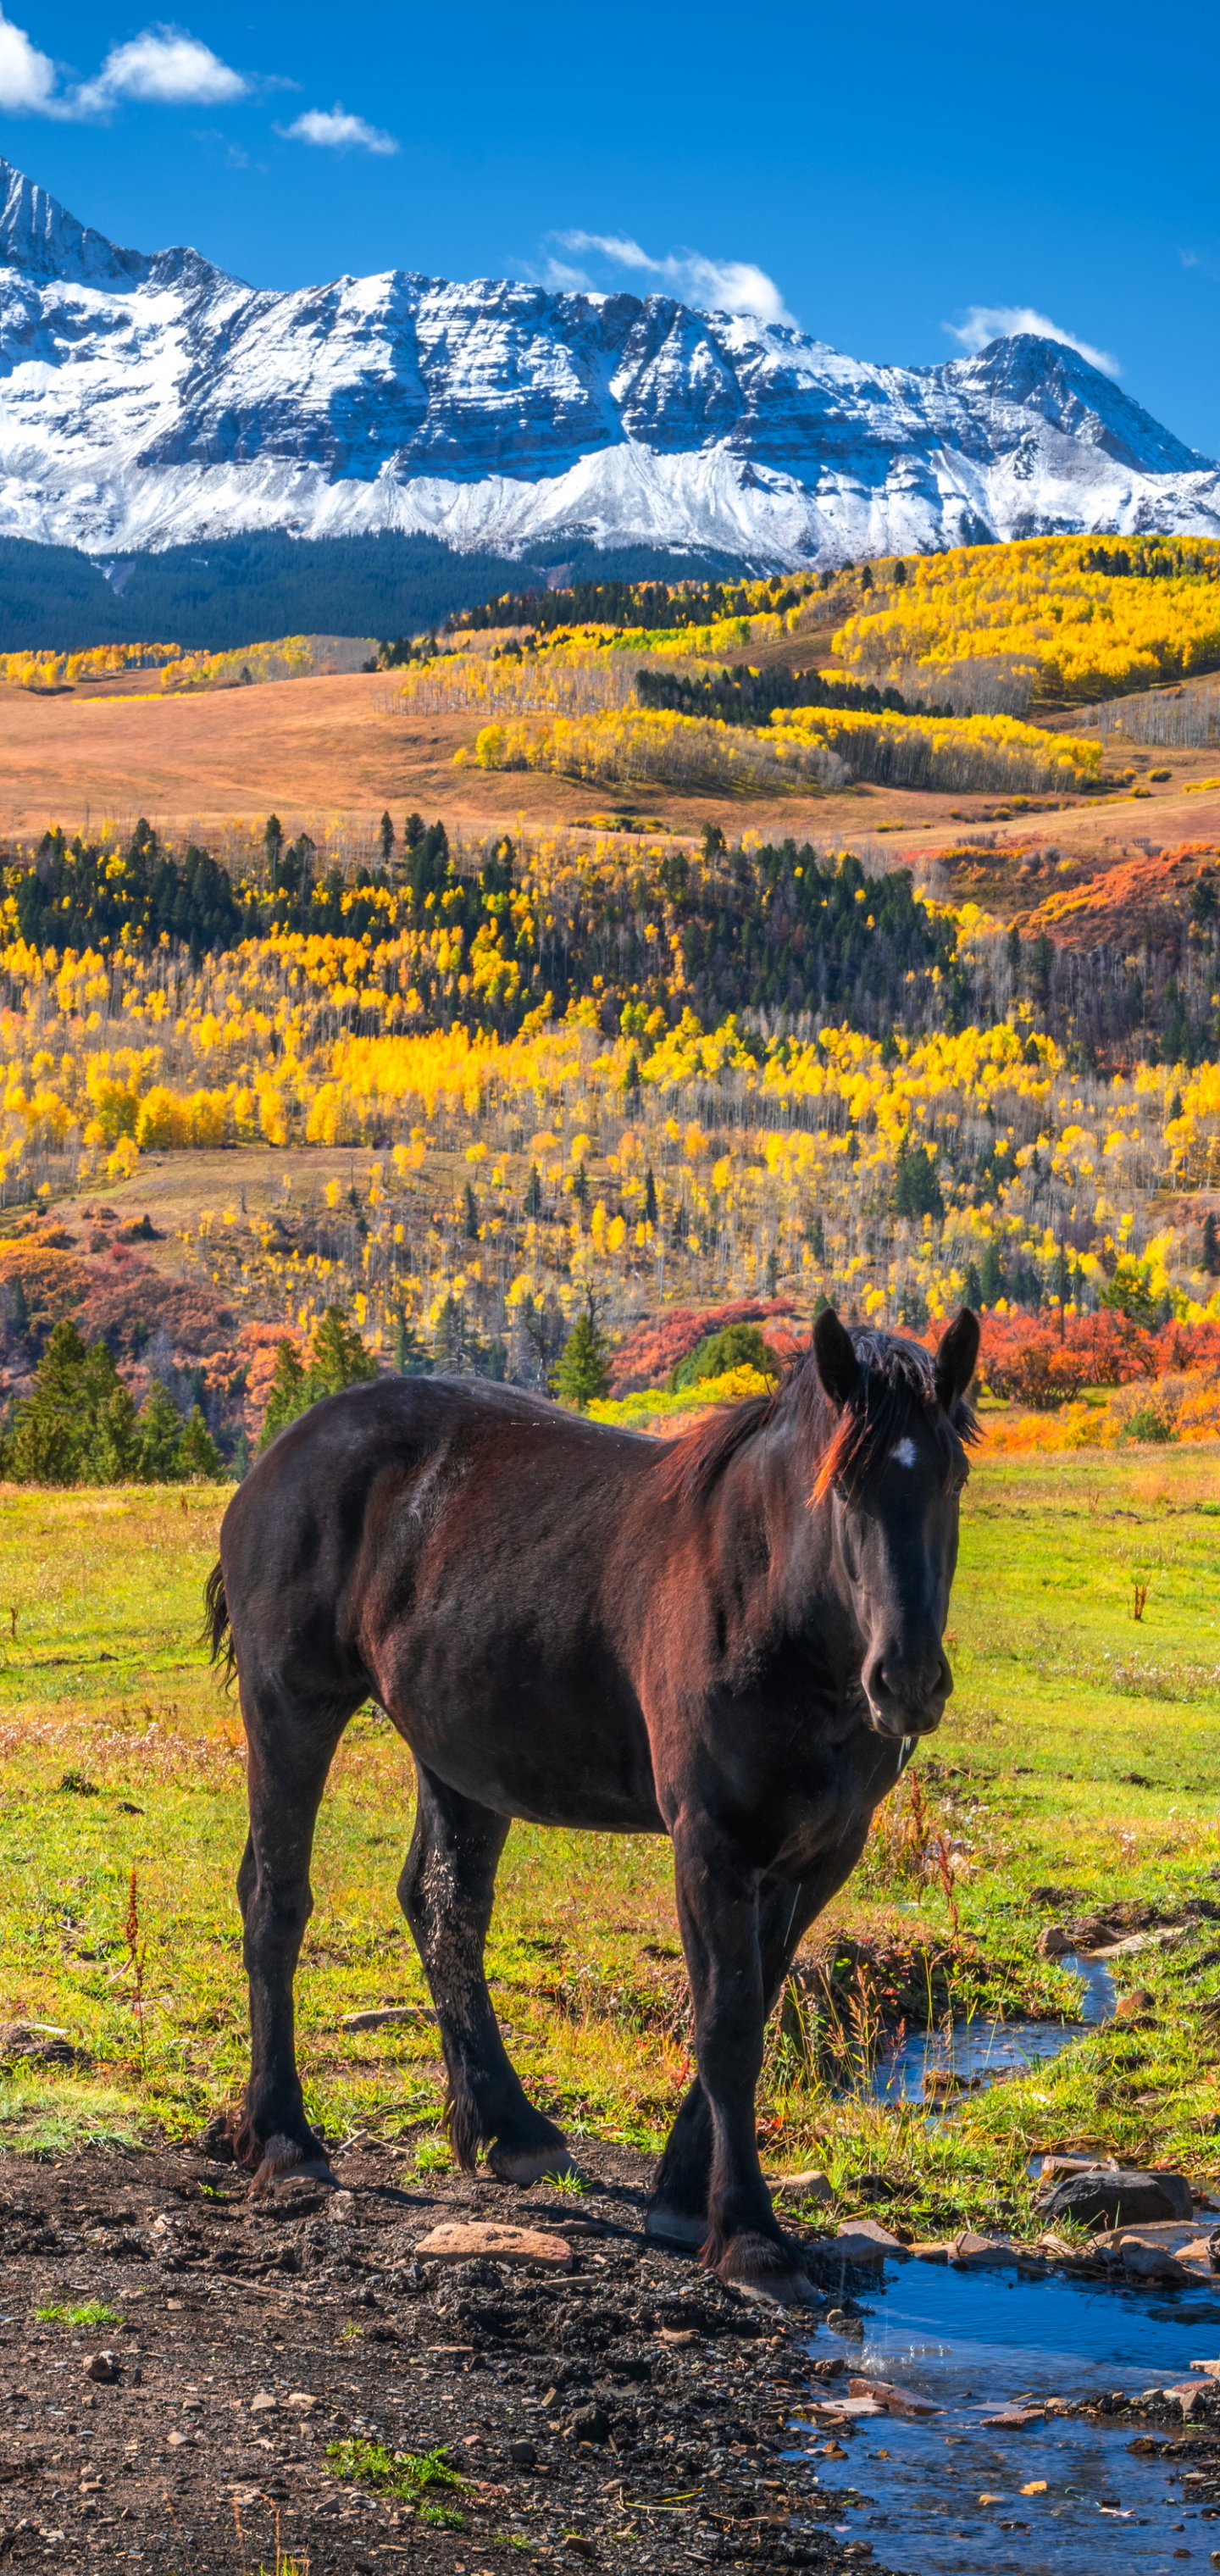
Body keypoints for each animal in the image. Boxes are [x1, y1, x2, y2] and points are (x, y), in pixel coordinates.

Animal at [204, 1308, 978, 2297]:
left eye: (951, 1477)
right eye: (843, 1484)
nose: (907, 1682)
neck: (772, 1603)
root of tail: (280, 1456)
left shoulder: (821, 1853)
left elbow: (758, 2002)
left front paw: (683, 2195)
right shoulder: (711, 1844)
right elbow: (726, 2027)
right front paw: (750, 2236)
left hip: (461, 1754)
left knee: (443, 1910)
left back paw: (510, 2128)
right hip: (289, 1709)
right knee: (276, 1901)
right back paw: (286, 2141)